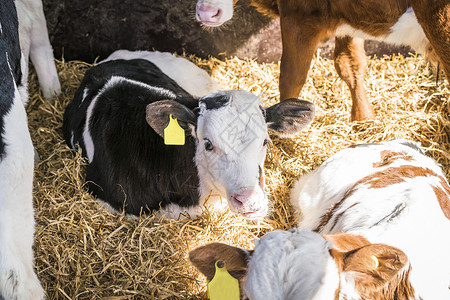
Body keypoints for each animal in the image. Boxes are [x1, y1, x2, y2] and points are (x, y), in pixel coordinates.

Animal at [196, 1, 450, 121]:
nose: (206, 12)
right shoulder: (346, 18)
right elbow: (350, 63)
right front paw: (364, 120)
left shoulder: (298, 18)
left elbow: (291, 77)